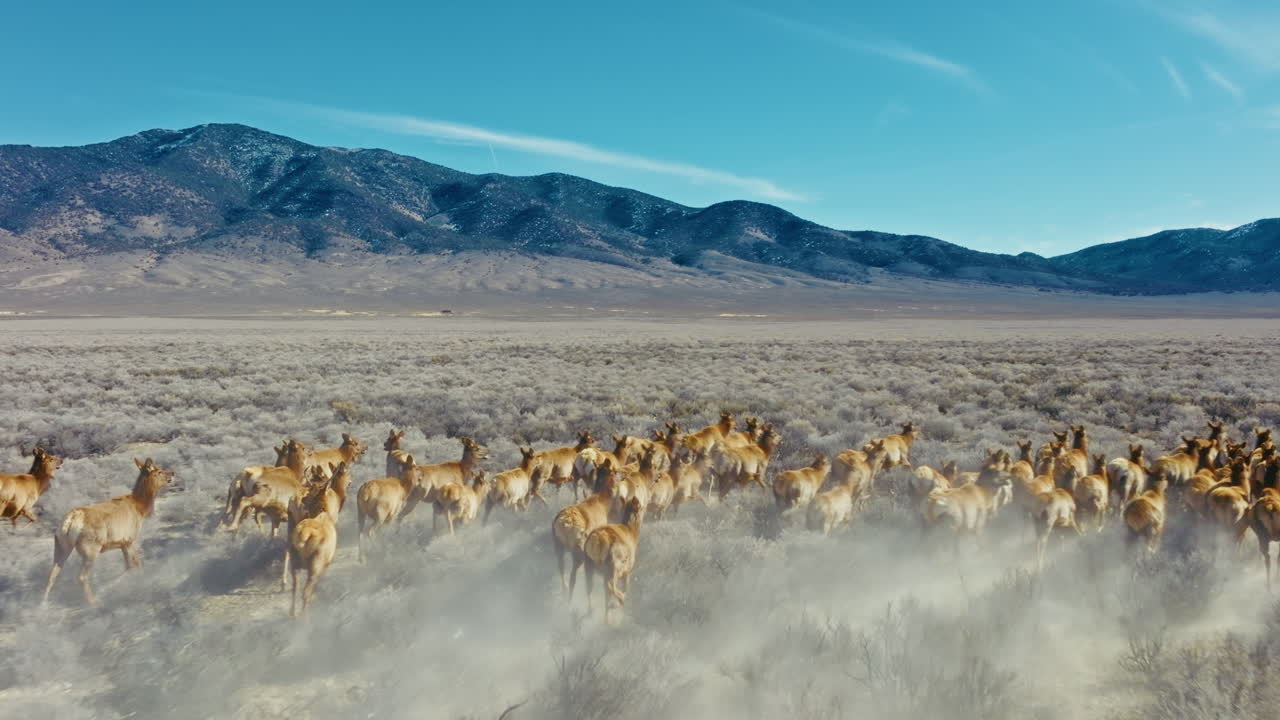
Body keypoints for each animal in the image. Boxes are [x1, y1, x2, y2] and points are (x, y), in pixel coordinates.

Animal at [42, 458, 175, 606]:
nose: (173, 473)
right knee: (81, 577)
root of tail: (70, 520)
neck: (140, 509)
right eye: (159, 471)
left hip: (61, 546)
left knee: (52, 575)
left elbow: (129, 566)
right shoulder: (129, 540)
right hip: (90, 550)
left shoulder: (121, 544)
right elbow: (135, 565)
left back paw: (42, 605)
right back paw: (93, 602)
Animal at [551, 461, 617, 599]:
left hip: (557, 544)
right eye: (614, 471)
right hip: (579, 549)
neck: (603, 503)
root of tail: (564, 525)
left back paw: (564, 589)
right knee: (573, 576)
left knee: (561, 567)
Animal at [584, 495, 645, 624]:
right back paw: (619, 602)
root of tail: (597, 541)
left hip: (589, 564)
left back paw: (594, 614)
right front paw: (620, 601)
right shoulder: (628, 569)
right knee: (610, 585)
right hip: (613, 565)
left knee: (590, 589)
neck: (632, 533)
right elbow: (626, 587)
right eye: (641, 507)